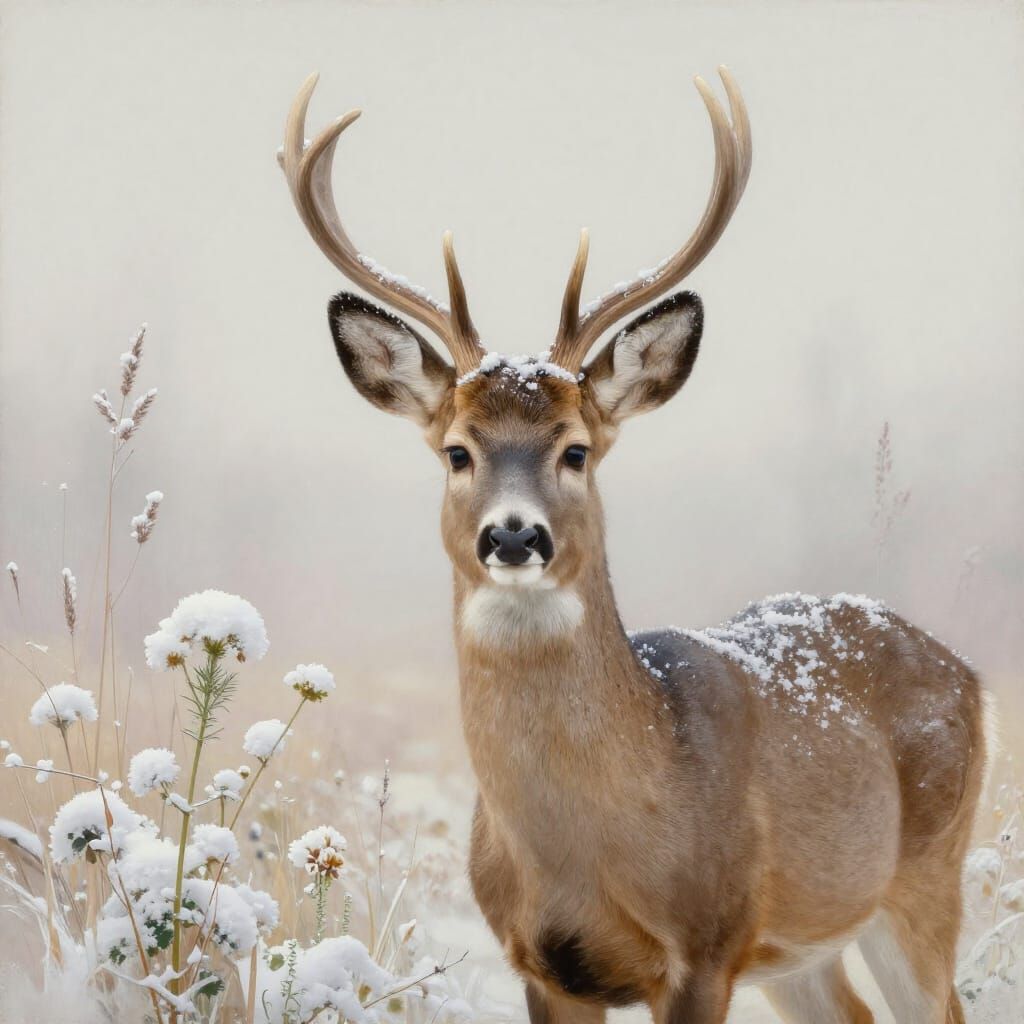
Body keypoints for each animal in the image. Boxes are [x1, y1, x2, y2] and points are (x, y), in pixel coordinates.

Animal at [279, 67, 987, 1024]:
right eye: (457, 450)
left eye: (576, 448)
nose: (513, 533)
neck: (588, 847)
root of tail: (966, 670)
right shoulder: (542, 962)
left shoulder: (707, 943)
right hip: (802, 947)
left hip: (924, 875)